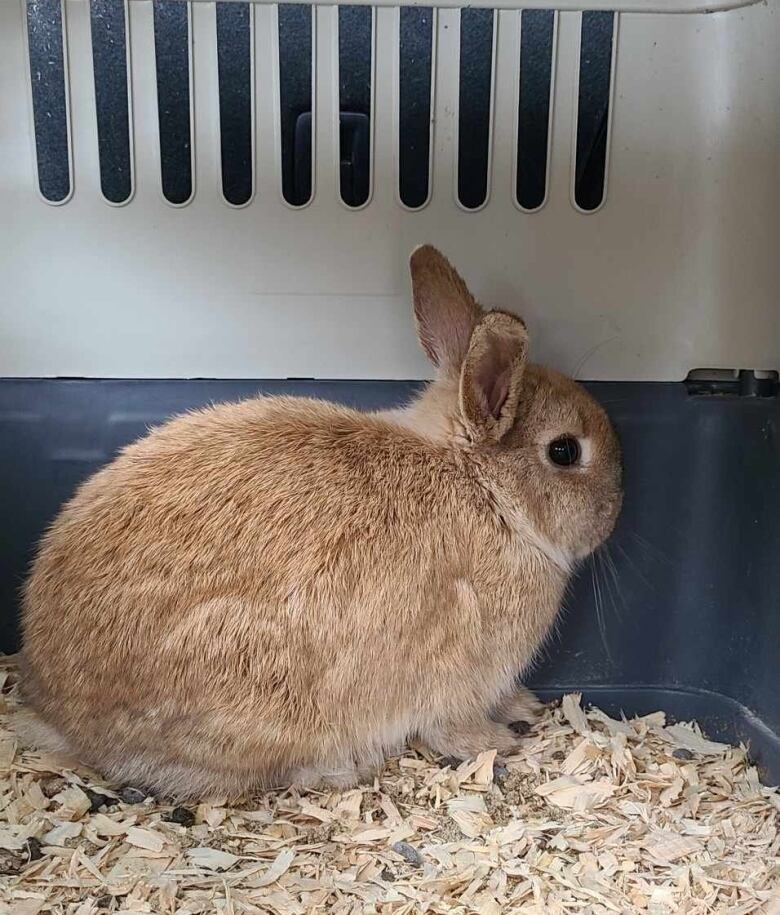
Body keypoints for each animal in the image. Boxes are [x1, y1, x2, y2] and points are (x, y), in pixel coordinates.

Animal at [18, 247, 620, 796]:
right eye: (565, 451)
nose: (615, 508)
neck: (487, 491)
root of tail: (58, 716)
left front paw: (525, 706)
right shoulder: (455, 676)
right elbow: (452, 726)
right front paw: (498, 741)